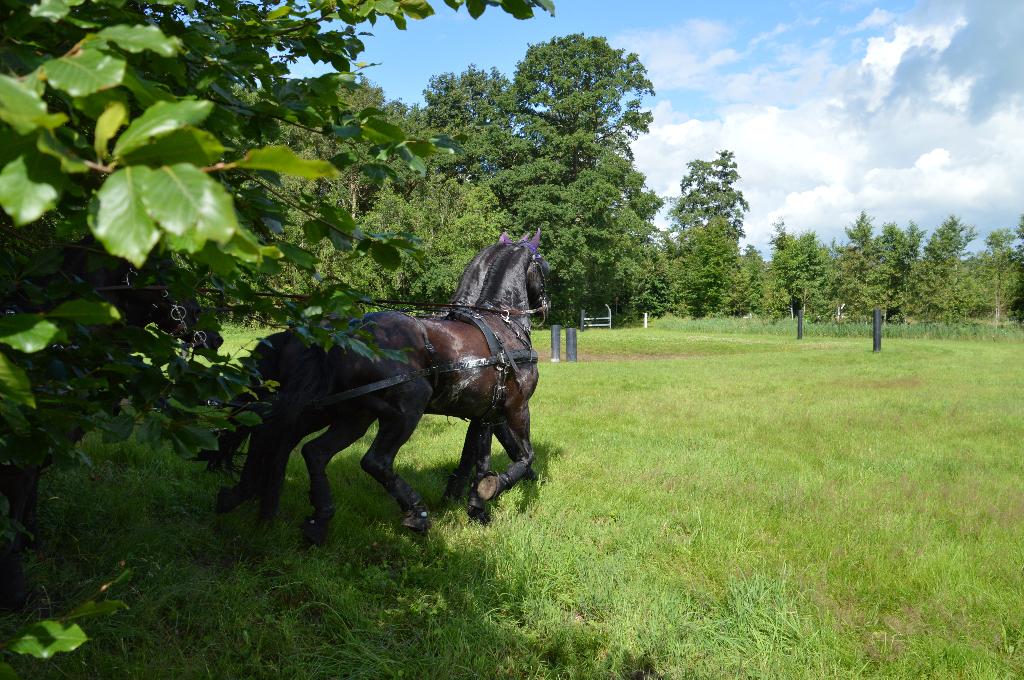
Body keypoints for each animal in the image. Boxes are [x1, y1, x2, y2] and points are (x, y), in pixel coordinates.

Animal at [0, 243, 222, 610]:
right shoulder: (21, 451)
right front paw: (15, 587)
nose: (213, 335)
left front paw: (30, 548)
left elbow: (25, 502)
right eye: (162, 266)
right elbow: (14, 506)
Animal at [214, 230, 550, 544]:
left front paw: (475, 504)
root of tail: (342, 335)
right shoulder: (516, 407)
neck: (502, 325)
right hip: (405, 408)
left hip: (348, 414)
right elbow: (522, 455)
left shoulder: (485, 413)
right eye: (543, 265)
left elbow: (477, 456)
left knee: (307, 450)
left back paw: (306, 518)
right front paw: (495, 488)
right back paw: (416, 513)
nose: (545, 306)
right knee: (373, 460)